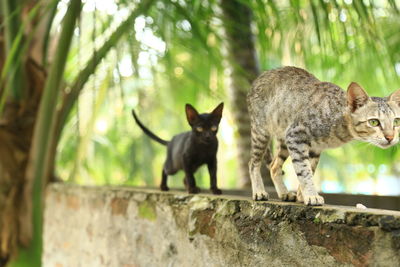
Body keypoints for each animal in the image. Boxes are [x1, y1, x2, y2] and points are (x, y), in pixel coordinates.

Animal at [247, 66, 400, 205]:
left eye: (396, 121)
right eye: (374, 122)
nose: (390, 137)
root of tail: (260, 76)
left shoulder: (315, 148)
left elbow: (311, 169)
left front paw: (302, 195)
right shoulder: (295, 135)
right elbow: (304, 170)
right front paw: (311, 195)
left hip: (283, 137)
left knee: (274, 166)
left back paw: (285, 193)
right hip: (261, 132)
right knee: (253, 162)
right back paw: (259, 191)